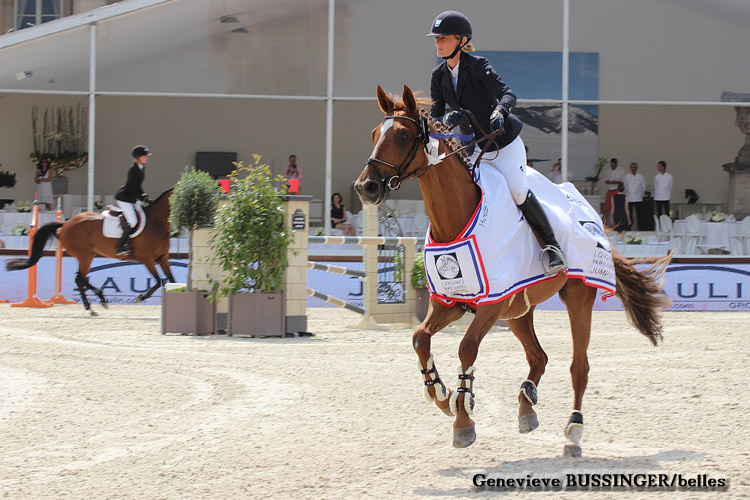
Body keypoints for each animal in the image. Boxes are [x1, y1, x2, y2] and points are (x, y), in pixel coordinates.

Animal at [7, 188, 175, 312]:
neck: (156, 222)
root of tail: (65, 224)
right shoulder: (147, 259)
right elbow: (158, 282)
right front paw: (141, 297)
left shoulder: (163, 258)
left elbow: (172, 281)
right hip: (85, 255)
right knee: (80, 278)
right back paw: (94, 304)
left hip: (88, 255)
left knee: (81, 278)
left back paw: (96, 301)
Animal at [356, 86, 672, 458]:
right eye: (374, 134)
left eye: (404, 136)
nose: (366, 187)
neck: (455, 219)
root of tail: (590, 214)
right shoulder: (450, 302)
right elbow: (420, 337)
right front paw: (440, 393)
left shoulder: (491, 304)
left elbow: (466, 348)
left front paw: (462, 418)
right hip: (518, 310)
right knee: (539, 357)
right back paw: (526, 405)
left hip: (577, 297)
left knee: (578, 366)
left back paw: (574, 430)